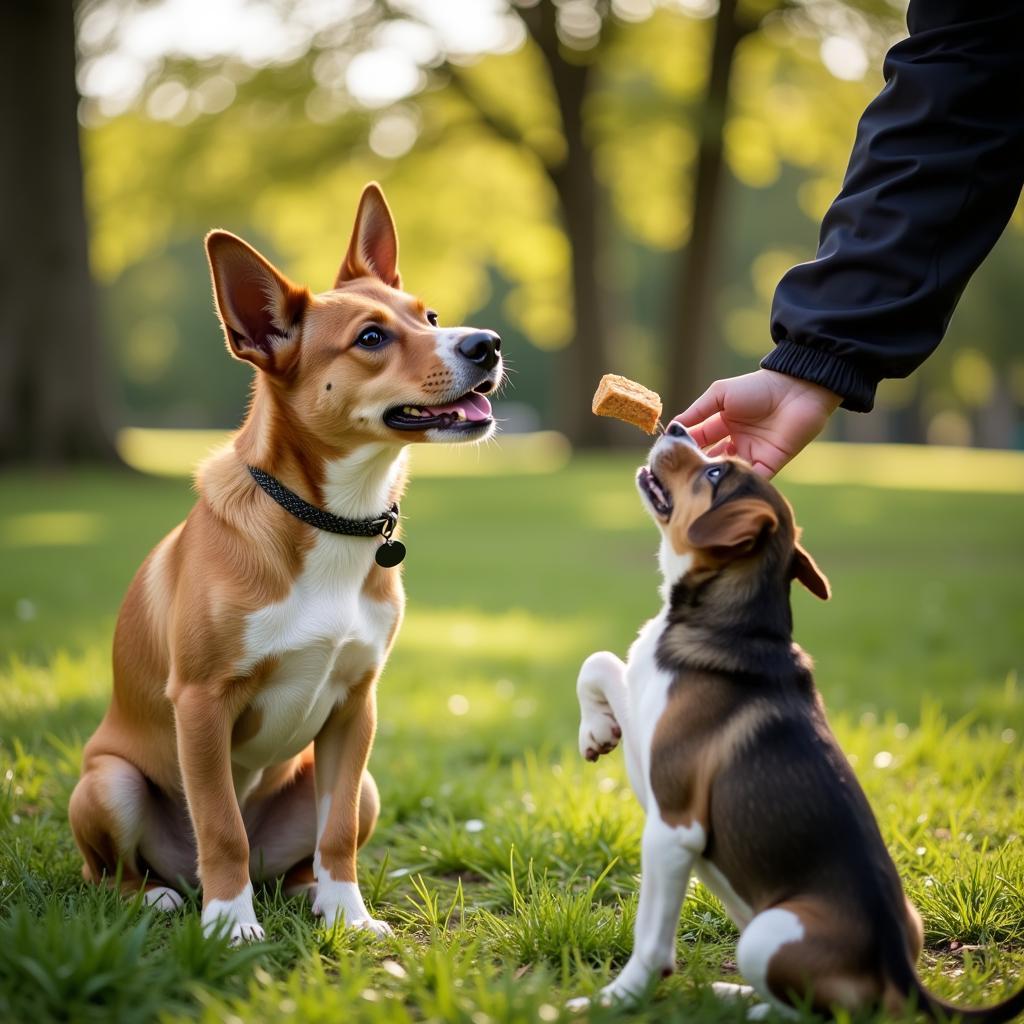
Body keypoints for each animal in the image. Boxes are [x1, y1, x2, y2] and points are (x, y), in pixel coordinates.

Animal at [68, 182, 503, 937]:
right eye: (370, 338)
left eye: (430, 316)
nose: (488, 344)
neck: (332, 520)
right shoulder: (202, 703)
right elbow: (220, 827)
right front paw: (231, 925)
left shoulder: (357, 706)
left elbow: (336, 834)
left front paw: (348, 916)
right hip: (109, 782)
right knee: (117, 874)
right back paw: (164, 897)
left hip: (364, 787)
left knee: (303, 851)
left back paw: (308, 895)